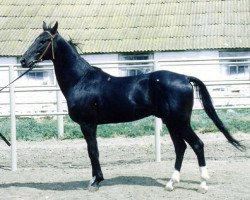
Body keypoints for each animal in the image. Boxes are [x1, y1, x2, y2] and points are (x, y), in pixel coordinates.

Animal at [20, 21, 243, 192]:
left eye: (43, 40)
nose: (23, 60)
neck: (81, 80)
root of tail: (185, 78)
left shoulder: (88, 124)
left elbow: (93, 152)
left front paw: (96, 182)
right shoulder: (90, 126)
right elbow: (92, 151)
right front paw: (94, 180)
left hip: (180, 122)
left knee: (197, 145)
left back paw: (202, 185)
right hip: (171, 123)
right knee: (181, 147)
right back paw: (171, 184)